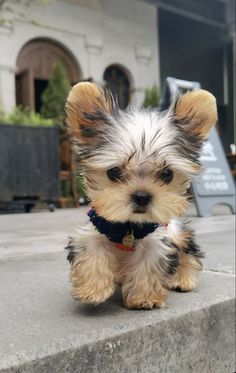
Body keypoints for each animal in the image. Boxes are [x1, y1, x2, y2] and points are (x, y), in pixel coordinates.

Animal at [64, 81, 218, 308]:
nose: (142, 196)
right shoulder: (94, 230)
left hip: (177, 232)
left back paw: (183, 278)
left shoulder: (156, 241)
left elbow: (148, 265)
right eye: (114, 172)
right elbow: (92, 252)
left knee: (187, 252)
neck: (128, 226)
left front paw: (145, 297)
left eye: (167, 174)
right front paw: (92, 290)